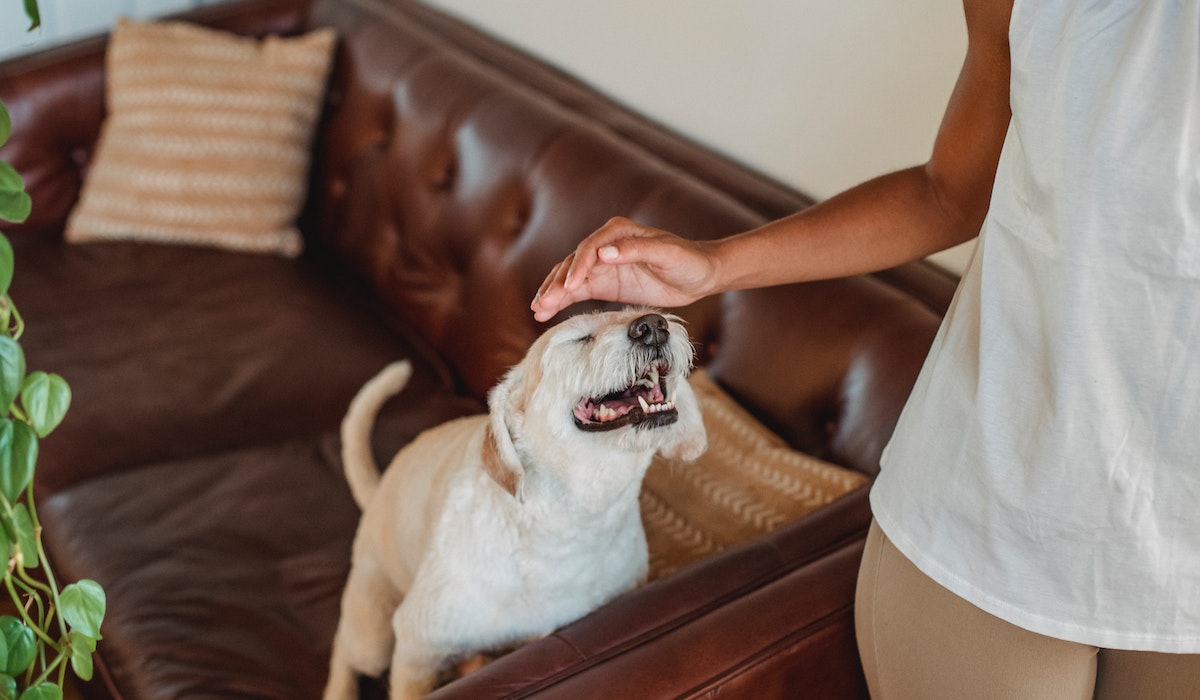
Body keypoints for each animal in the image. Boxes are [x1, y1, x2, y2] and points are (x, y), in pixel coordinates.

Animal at [324, 309, 705, 700]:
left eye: (636, 308)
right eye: (579, 338)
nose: (654, 326)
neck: (574, 523)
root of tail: (376, 495)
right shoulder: (418, 648)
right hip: (373, 638)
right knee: (344, 650)